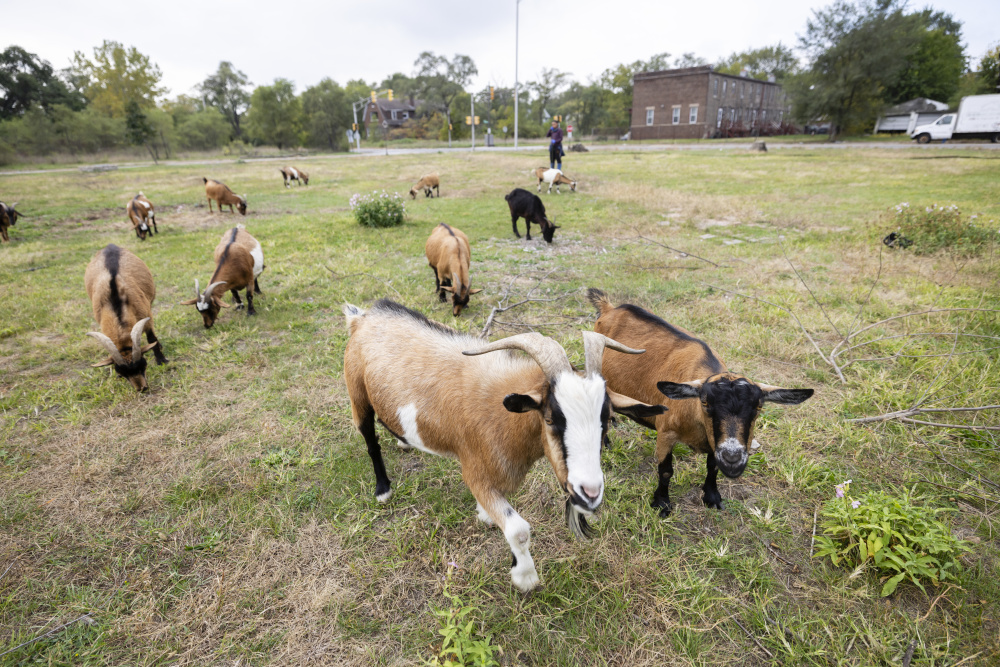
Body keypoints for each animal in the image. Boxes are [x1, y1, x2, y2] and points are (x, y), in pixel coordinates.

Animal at [84, 244, 168, 392]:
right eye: (121, 373)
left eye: (143, 364)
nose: (141, 388)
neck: (115, 302)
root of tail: (110, 246)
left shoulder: (146, 315)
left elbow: (152, 338)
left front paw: (161, 360)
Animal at [343, 299, 666, 591]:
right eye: (551, 419)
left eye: (607, 419)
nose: (590, 492)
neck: (504, 415)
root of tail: (362, 317)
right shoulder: (474, 472)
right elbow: (519, 530)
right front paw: (525, 578)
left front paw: (485, 516)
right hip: (357, 394)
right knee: (370, 439)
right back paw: (383, 489)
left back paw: (403, 441)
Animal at [587, 289, 813, 516]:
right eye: (705, 403)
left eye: (759, 407)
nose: (733, 461)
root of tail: (610, 308)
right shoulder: (665, 432)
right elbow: (666, 471)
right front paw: (662, 504)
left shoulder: (713, 440)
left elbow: (712, 466)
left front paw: (712, 497)